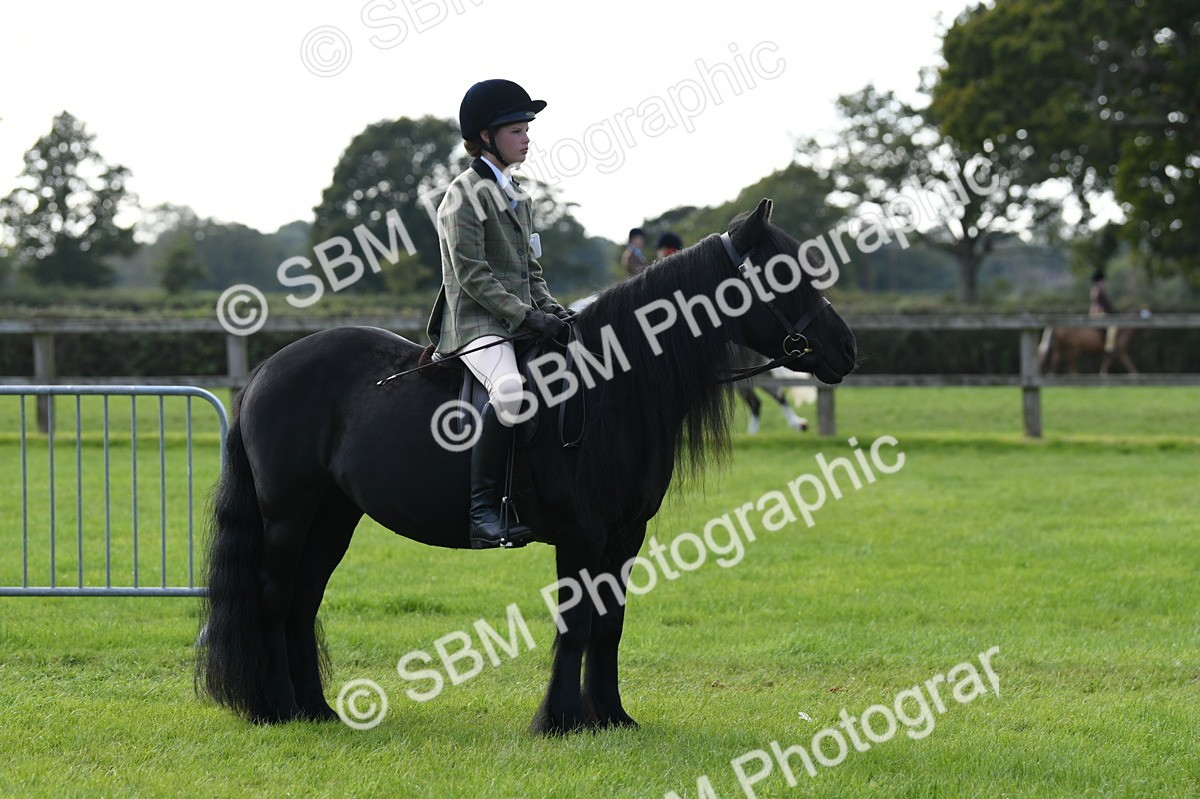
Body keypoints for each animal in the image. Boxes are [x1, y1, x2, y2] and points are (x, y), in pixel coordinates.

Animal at [196, 198, 857, 734]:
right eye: (783, 274)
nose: (847, 348)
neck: (608, 387)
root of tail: (265, 371)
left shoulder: (625, 535)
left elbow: (610, 624)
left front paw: (611, 717)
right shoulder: (582, 534)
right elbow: (576, 624)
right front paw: (559, 721)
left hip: (333, 516)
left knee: (304, 600)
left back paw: (316, 710)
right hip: (288, 514)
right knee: (275, 597)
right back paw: (279, 708)